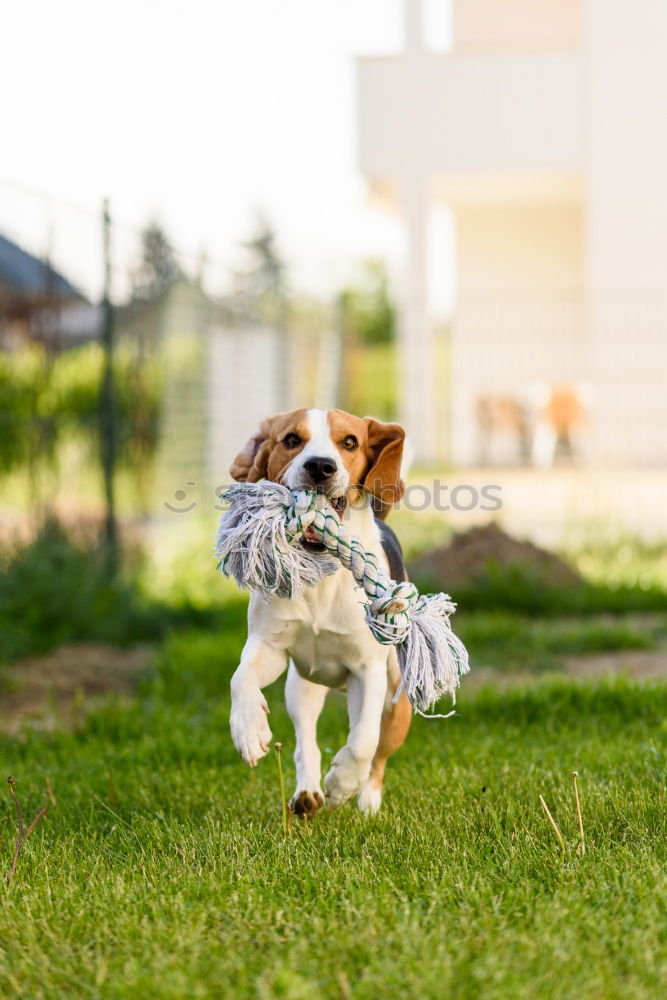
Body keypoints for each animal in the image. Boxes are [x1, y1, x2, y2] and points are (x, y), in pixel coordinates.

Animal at [230, 406, 412, 812]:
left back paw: (366, 801)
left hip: (397, 699)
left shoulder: (368, 670)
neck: (321, 574)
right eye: (291, 440)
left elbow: (363, 741)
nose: (319, 466)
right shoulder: (269, 647)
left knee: (377, 753)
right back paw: (307, 794)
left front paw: (342, 783)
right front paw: (248, 729)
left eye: (350, 442)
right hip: (301, 689)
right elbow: (241, 678)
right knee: (305, 742)